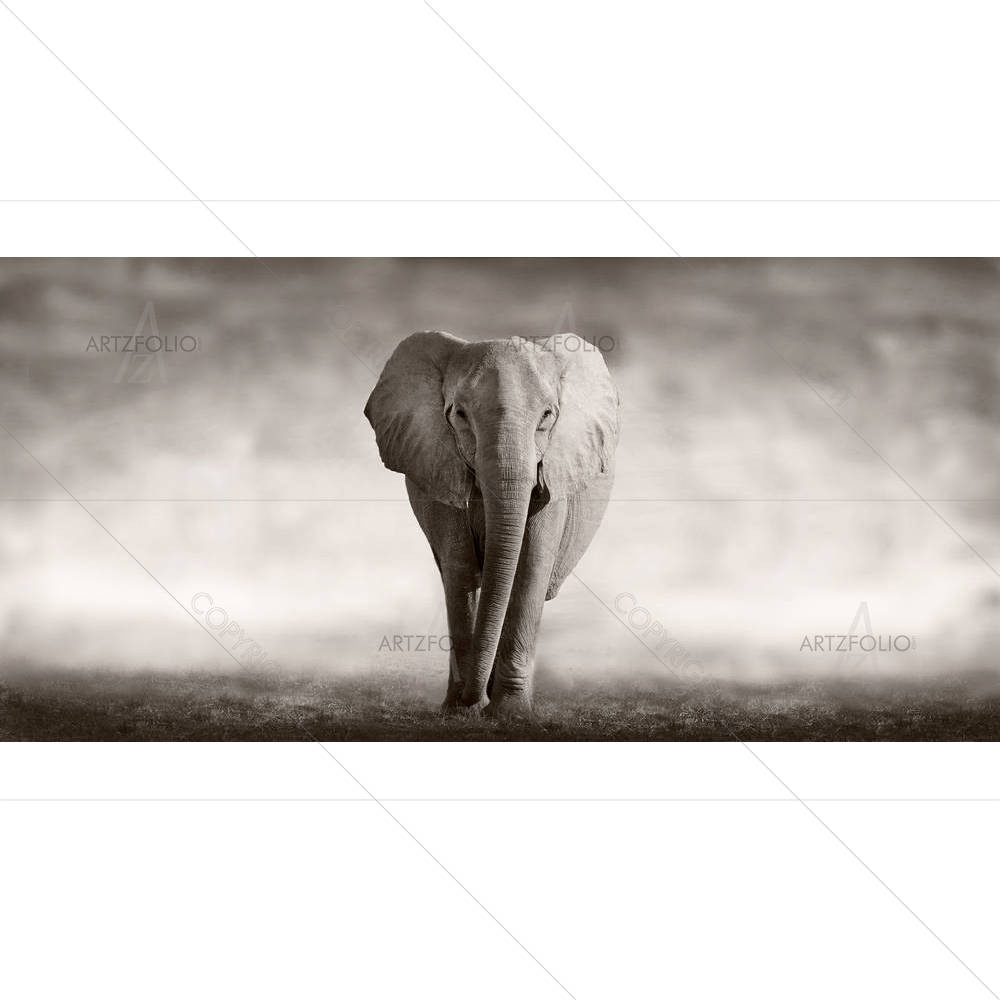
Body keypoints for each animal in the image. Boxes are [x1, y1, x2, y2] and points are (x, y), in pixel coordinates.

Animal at [364, 331, 620, 717]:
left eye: (547, 415)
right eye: (459, 414)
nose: (476, 701)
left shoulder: (554, 472)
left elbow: (530, 567)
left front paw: (510, 714)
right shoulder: (438, 466)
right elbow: (460, 567)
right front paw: (462, 711)